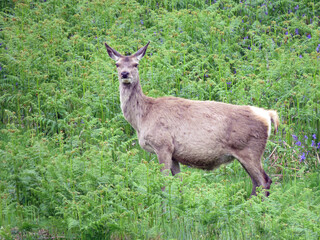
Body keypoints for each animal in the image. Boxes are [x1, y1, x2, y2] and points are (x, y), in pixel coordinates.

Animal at [104, 41, 278, 197]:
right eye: (117, 64)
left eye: (136, 64)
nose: (125, 74)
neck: (142, 118)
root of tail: (268, 115)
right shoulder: (174, 153)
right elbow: (179, 182)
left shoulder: (162, 144)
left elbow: (164, 183)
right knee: (257, 183)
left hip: (250, 150)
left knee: (265, 181)